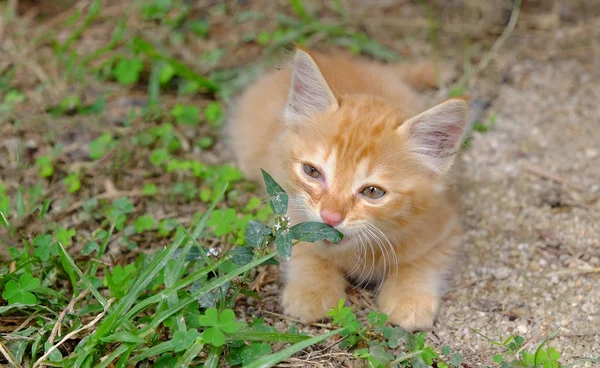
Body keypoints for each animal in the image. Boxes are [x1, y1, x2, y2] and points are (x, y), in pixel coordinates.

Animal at [229, 46, 468, 330]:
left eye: (373, 192)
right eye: (312, 172)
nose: (330, 217)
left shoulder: (445, 228)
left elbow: (422, 261)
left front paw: (410, 298)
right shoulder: (290, 212)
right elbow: (305, 249)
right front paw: (312, 290)